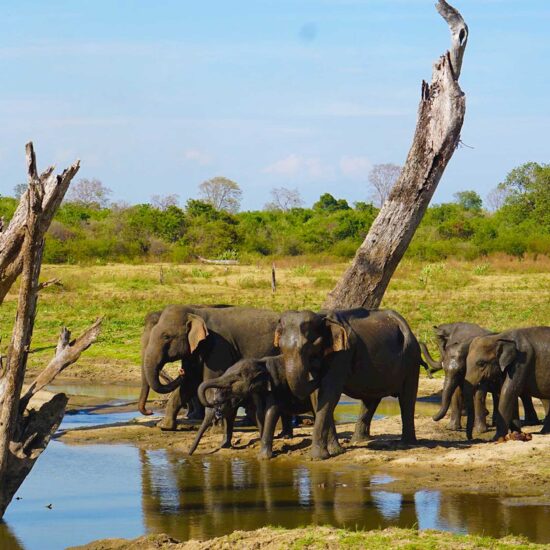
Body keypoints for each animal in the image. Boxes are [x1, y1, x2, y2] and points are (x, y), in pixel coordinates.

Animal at [138, 306, 280, 452]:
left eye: (166, 336)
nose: (149, 411)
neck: (195, 312)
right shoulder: (194, 351)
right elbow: (189, 382)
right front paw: (164, 426)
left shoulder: (219, 347)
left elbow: (211, 380)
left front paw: (215, 431)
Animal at [276, 310, 422, 462]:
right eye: (280, 347)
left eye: (310, 346)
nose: (315, 368)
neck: (322, 316)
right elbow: (318, 398)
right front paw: (336, 451)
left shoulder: (342, 355)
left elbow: (330, 393)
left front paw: (317, 457)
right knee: (371, 399)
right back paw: (359, 441)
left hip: (411, 359)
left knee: (406, 399)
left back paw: (406, 443)